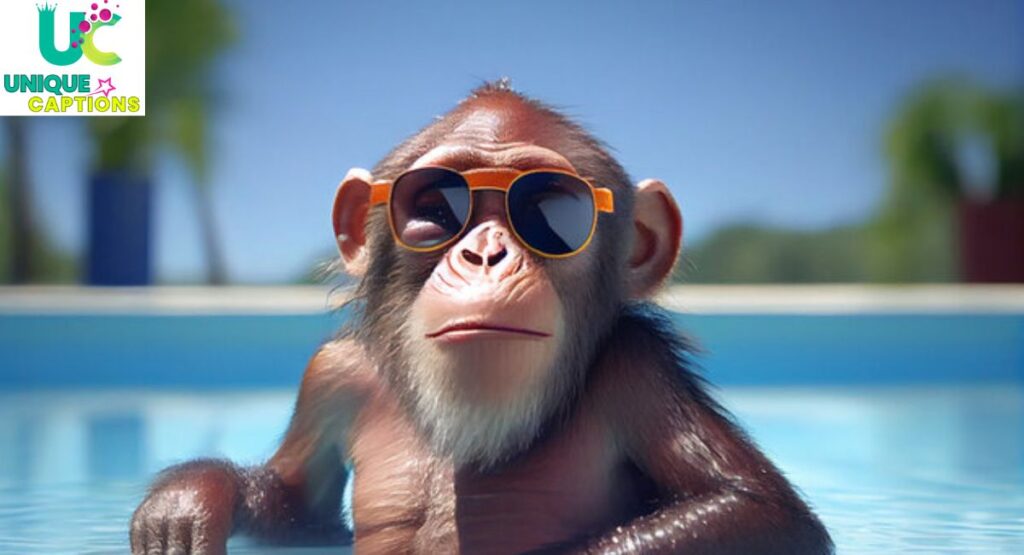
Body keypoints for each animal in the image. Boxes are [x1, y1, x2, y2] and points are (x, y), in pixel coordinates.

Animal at [130, 81, 833, 555]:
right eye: (434, 208)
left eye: (550, 207)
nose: (486, 253)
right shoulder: (330, 375)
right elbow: (301, 504)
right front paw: (192, 495)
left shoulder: (637, 364)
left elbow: (756, 508)